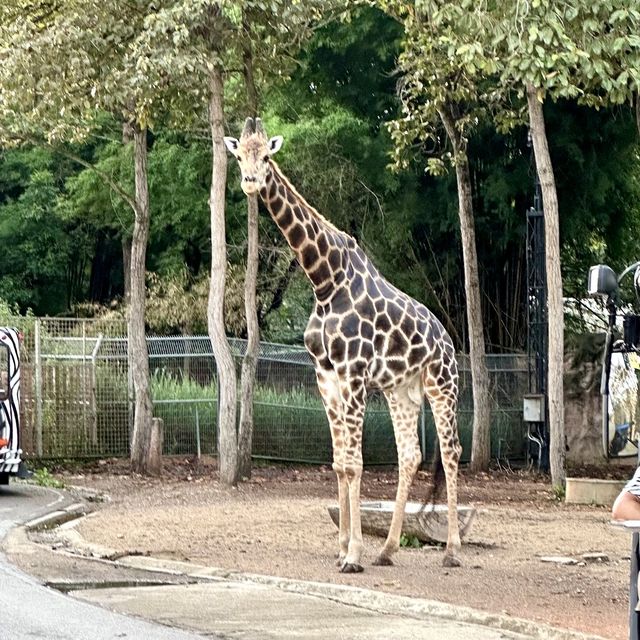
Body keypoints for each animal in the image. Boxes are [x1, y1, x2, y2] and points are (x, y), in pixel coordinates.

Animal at [225, 117, 460, 572]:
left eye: (267, 157)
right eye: (239, 155)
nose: (250, 182)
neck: (324, 281)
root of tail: (447, 339)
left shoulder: (353, 375)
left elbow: (354, 464)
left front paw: (352, 555)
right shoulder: (325, 376)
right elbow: (337, 464)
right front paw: (342, 548)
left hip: (443, 385)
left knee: (451, 451)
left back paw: (452, 551)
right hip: (402, 391)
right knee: (410, 455)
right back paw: (387, 550)